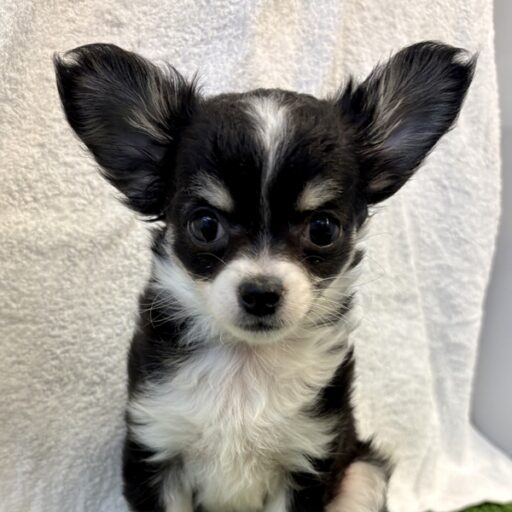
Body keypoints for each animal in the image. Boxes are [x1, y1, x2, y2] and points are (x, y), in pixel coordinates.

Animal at [54, 41, 474, 512]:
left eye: (323, 229)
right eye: (205, 226)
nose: (260, 293)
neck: (245, 362)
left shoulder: (309, 458)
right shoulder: (156, 446)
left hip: (362, 474)